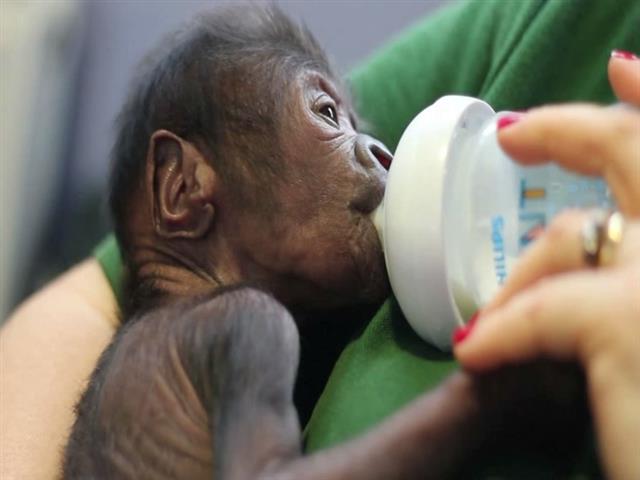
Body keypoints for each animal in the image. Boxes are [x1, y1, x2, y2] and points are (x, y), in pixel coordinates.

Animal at [62, 5, 588, 479]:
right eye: (330, 114)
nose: (384, 153)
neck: (188, 287)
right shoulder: (251, 323)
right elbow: (266, 471)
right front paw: (528, 376)